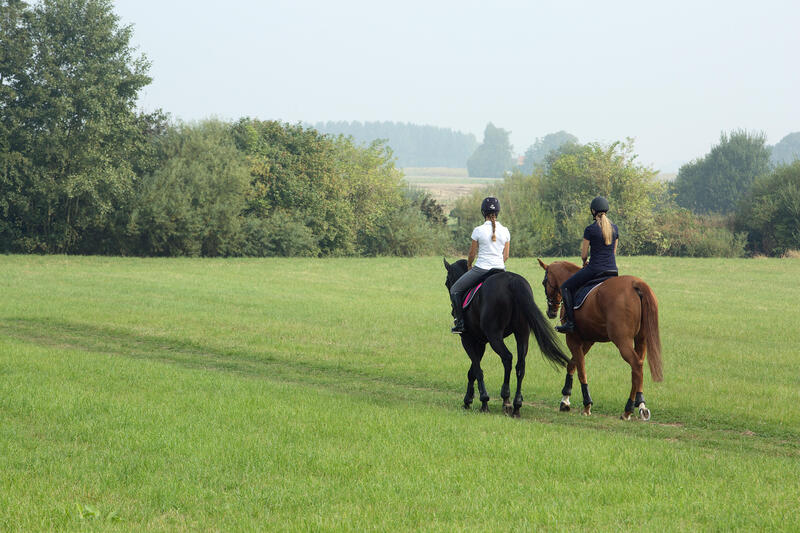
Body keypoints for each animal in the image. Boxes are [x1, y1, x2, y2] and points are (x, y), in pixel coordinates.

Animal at [444, 258, 568, 416]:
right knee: (520, 365)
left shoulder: (468, 340)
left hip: (495, 336)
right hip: (522, 334)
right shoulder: (480, 342)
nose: (453, 310)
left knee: (507, 358)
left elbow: (477, 369)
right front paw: (468, 399)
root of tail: (512, 281)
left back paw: (505, 399)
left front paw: (481, 400)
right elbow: (472, 371)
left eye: (447, 282)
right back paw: (516, 405)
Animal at [536, 258, 664, 420]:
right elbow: (572, 364)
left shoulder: (573, 339)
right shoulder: (588, 340)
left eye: (544, 282)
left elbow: (580, 369)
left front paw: (586, 404)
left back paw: (629, 409)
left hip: (622, 341)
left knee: (636, 366)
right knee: (638, 368)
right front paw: (565, 400)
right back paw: (639, 404)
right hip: (641, 340)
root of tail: (635, 284)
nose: (550, 312)